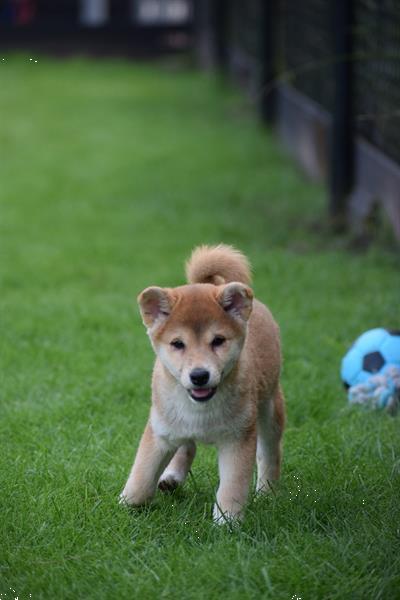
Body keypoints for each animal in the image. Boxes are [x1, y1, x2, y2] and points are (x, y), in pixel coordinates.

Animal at [120, 244, 286, 520]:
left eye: (218, 341)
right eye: (178, 344)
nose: (199, 375)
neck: (200, 410)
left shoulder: (237, 438)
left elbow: (232, 486)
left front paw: (227, 520)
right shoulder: (159, 431)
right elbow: (141, 476)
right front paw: (127, 504)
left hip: (271, 408)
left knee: (269, 454)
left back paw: (267, 492)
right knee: (187, 445)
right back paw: (172, 476)